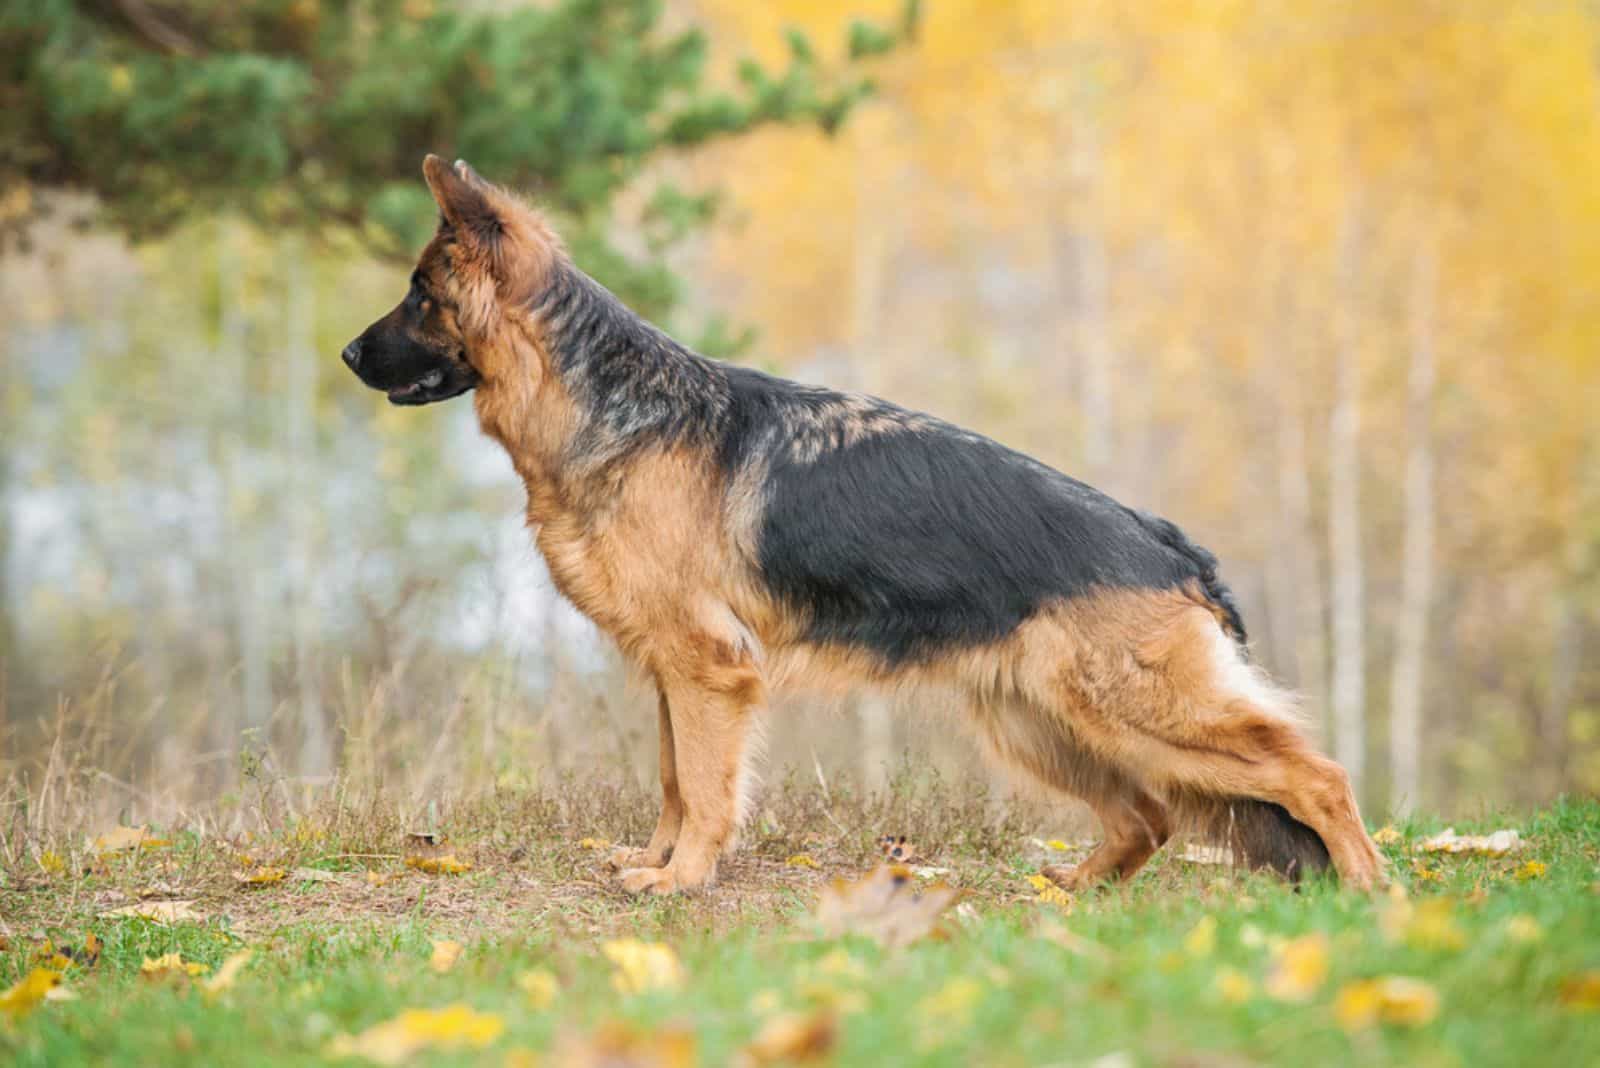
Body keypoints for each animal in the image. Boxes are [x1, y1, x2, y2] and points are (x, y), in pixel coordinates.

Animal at [340, 156, 1388, 895]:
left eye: (420, 294)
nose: (347, 354)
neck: (615, 404)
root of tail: (1170, 542)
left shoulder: (709, 670)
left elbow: (707, 787)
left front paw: (683, 879)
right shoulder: (672, 672)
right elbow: (677, 780)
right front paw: (658, 860)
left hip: (1137, 716)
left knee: (1316, 776)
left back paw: (1370, 896)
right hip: (1043, 725)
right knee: (1148, 820)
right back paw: (1074, 890)